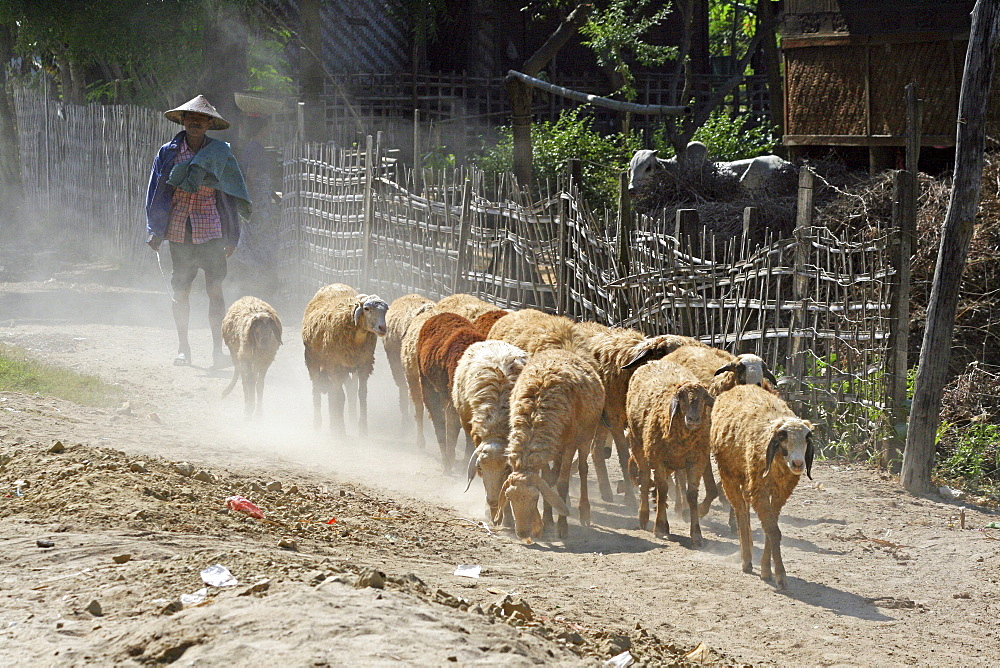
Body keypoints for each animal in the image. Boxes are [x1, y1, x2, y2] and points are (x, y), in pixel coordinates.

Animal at [298, 288, 388, 438]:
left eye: (386, 310)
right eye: (367, 308)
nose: (382, 328)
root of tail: (331, 285)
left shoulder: (364, 365)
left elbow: (361, 394)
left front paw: (362, 428)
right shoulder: (336, 365)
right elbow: (340, 396)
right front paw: (341, 431)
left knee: (339, 390)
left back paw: (337, 422)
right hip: (313, 360)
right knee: (317, 389)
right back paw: (318, 424)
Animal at [628, 360, 716, 544]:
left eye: (704, 398)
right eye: (681, 398)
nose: (693, 419)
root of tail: (654, 361)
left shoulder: (696, 461)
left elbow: (691, 495)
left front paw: (696, 534)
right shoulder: (658, 460)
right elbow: (662, 489)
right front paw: (660, 527)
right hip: (638, 444)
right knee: (645, 478)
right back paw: (644, 516)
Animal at [712, 380, 812, 588]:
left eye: (807, 438)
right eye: (782, 437)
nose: (798, 464)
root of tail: (740, 387)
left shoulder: (779, 493)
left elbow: (770, 529)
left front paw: (766, 569)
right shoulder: (759, 489)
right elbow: (773, 531)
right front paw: (780, 575)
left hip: (746, 479)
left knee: (744, 507)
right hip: (729, 475)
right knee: (740, 510)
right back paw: (746, 559)